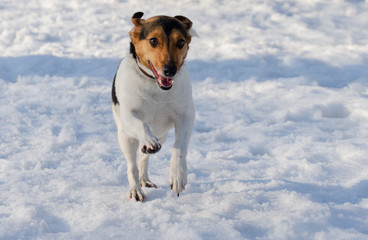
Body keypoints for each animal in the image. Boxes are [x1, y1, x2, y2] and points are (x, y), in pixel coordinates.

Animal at [111, 12, 196, 202]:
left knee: (143, 158)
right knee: (132, 165)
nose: (170, 70)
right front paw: (149, 140)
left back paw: (145, 179)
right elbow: (141, 124)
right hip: (125, 137)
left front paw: (177, 176)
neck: (155, 86)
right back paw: (136, 189)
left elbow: (180, 146)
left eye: (181, 42)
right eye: (153, 41)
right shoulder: (128, 115)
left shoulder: (186, 115)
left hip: (161, 135)